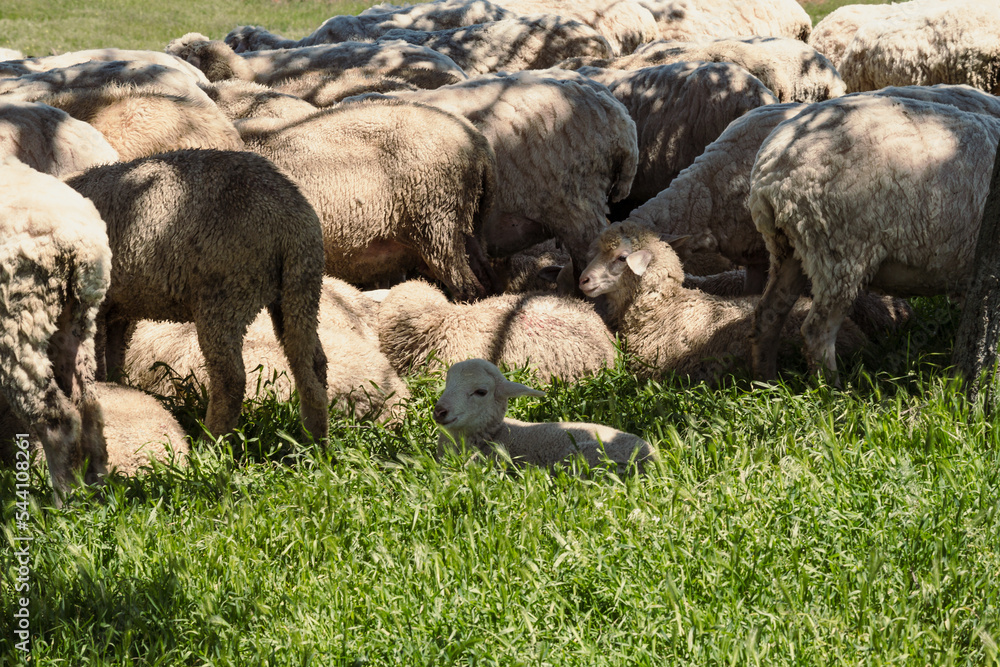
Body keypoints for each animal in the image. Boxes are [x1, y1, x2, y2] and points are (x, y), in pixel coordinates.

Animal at [0, 158, 111, 497]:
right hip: (75, 322)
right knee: (89, 408)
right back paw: (99, 491)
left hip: (18, 321)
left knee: (56, 419)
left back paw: (65, 500)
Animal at [64, 149, 330, 441]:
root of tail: (290, 216)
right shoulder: (119, 308)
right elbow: (113, 358)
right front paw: (118, 389)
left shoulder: (99, 303)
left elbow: (96, 360)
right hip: (300, 287)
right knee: (312, 362)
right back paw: (313, 440)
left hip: (225, 295)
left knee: (231, 378)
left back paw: (211, 442)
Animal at [748, 95, 1000, 379]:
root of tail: (770, 170)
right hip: (839, 248)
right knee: (816, 331)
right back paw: (831, 387)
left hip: (789, 246)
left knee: (767, 315)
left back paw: (766, 380)